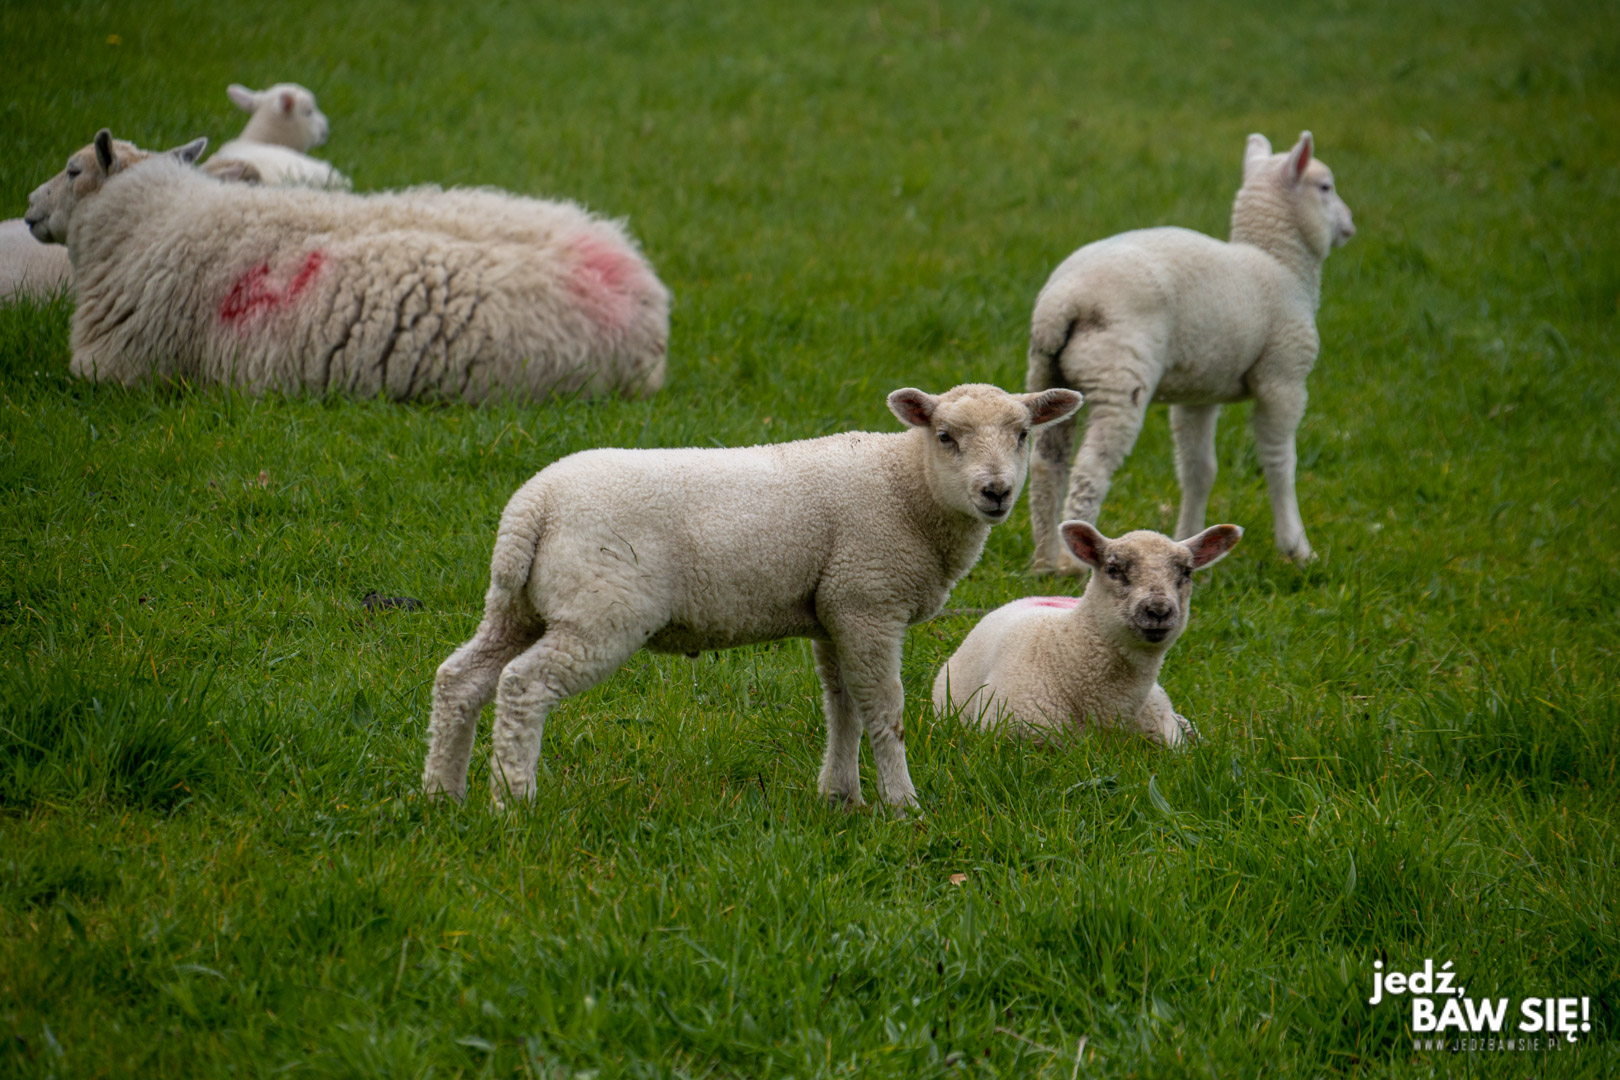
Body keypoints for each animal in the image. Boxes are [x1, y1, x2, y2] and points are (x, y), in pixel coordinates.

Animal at [421, 383, 1084, 809]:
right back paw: (514, 803)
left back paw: (441, 794)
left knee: (461, 679)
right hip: (600, 613)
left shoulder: (834, 608)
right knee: (522, 686)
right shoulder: (868, 600)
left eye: (1023, 434)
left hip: (521, 606)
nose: (996, 492)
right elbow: (884, 709)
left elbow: (841, 705)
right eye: (945, 436)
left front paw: (841, 797)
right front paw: (902, 804)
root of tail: (532, 506)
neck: (907, 486)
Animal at [1026, 131, 1355, 572]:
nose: (1350, 224)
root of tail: (1062, 302)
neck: (1280, 263)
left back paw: (1044, 562)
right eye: (1325, 187)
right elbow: (1281, 462)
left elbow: (1198, 470)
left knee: (1048, 465)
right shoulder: (1282, 375)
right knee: (1089, 470)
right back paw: (1074, 564)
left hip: (1048, 373)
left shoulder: (1199, 392)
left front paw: (1189, 542)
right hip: (1119, 376)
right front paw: (1297, 548)